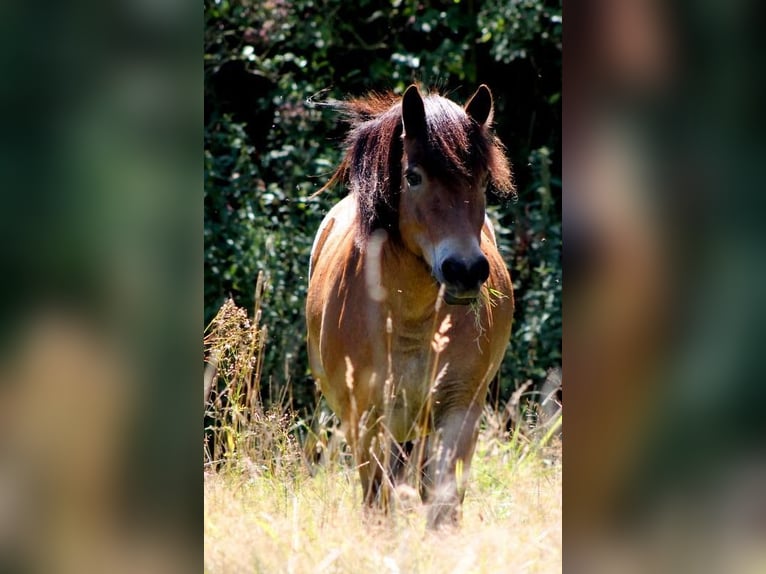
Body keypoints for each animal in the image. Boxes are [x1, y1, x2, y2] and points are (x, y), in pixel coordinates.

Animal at [306, 83, 516, 528]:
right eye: (413, 176)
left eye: (482, 179)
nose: (465, 270)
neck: (409, 320)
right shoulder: (368, 419)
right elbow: (377, 503)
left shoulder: (458, 410)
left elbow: (443, 505)